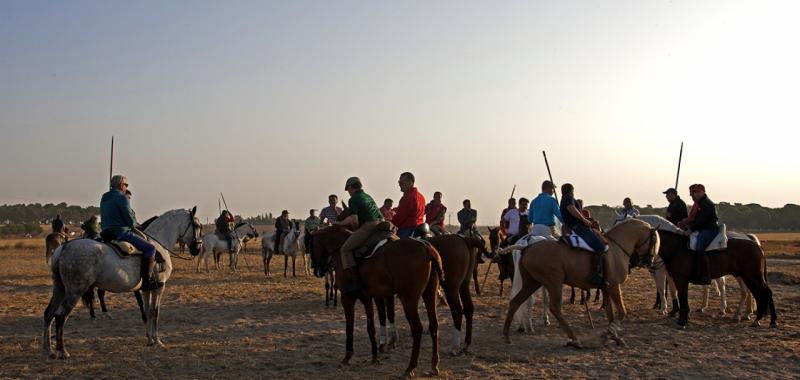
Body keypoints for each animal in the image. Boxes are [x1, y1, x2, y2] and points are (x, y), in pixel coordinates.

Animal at [43, 206, 203, 358]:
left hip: (60, 289)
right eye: (197, 225)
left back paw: (49, 350)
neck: (158, 245)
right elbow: (155, 312)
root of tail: (64, 248)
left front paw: (149, 339)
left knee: (49, 314)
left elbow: (148, 311)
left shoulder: (146, 289)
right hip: (74, 292)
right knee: (60, 316)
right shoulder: (159, 287)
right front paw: (157, 340)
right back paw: (62, 351)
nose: (197, 248)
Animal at [310, 226, 444, 378]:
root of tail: (426, 247)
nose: (317, 270)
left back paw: (410, 367)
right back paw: (434, 365)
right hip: (429, 296)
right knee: (434, 326)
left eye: (310, 245)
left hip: (408, 300)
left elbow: (349, 327)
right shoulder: (367, 299)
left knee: (417, 329)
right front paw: (374, 355)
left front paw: (348, 355)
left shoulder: (347, 298)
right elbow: (371, 327)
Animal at [504, 217, 660, 348]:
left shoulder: (606, 288)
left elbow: (610, 313)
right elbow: (622, 312)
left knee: (515, 302)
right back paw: (574, 339)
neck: (616, 248)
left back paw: (507, 337)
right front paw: (607, 334)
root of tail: (526, 247)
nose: (649, 261)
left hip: (532, 283)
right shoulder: (614, 287)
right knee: (554, 308)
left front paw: (614, 337)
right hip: (553, 283)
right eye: (654, 242)